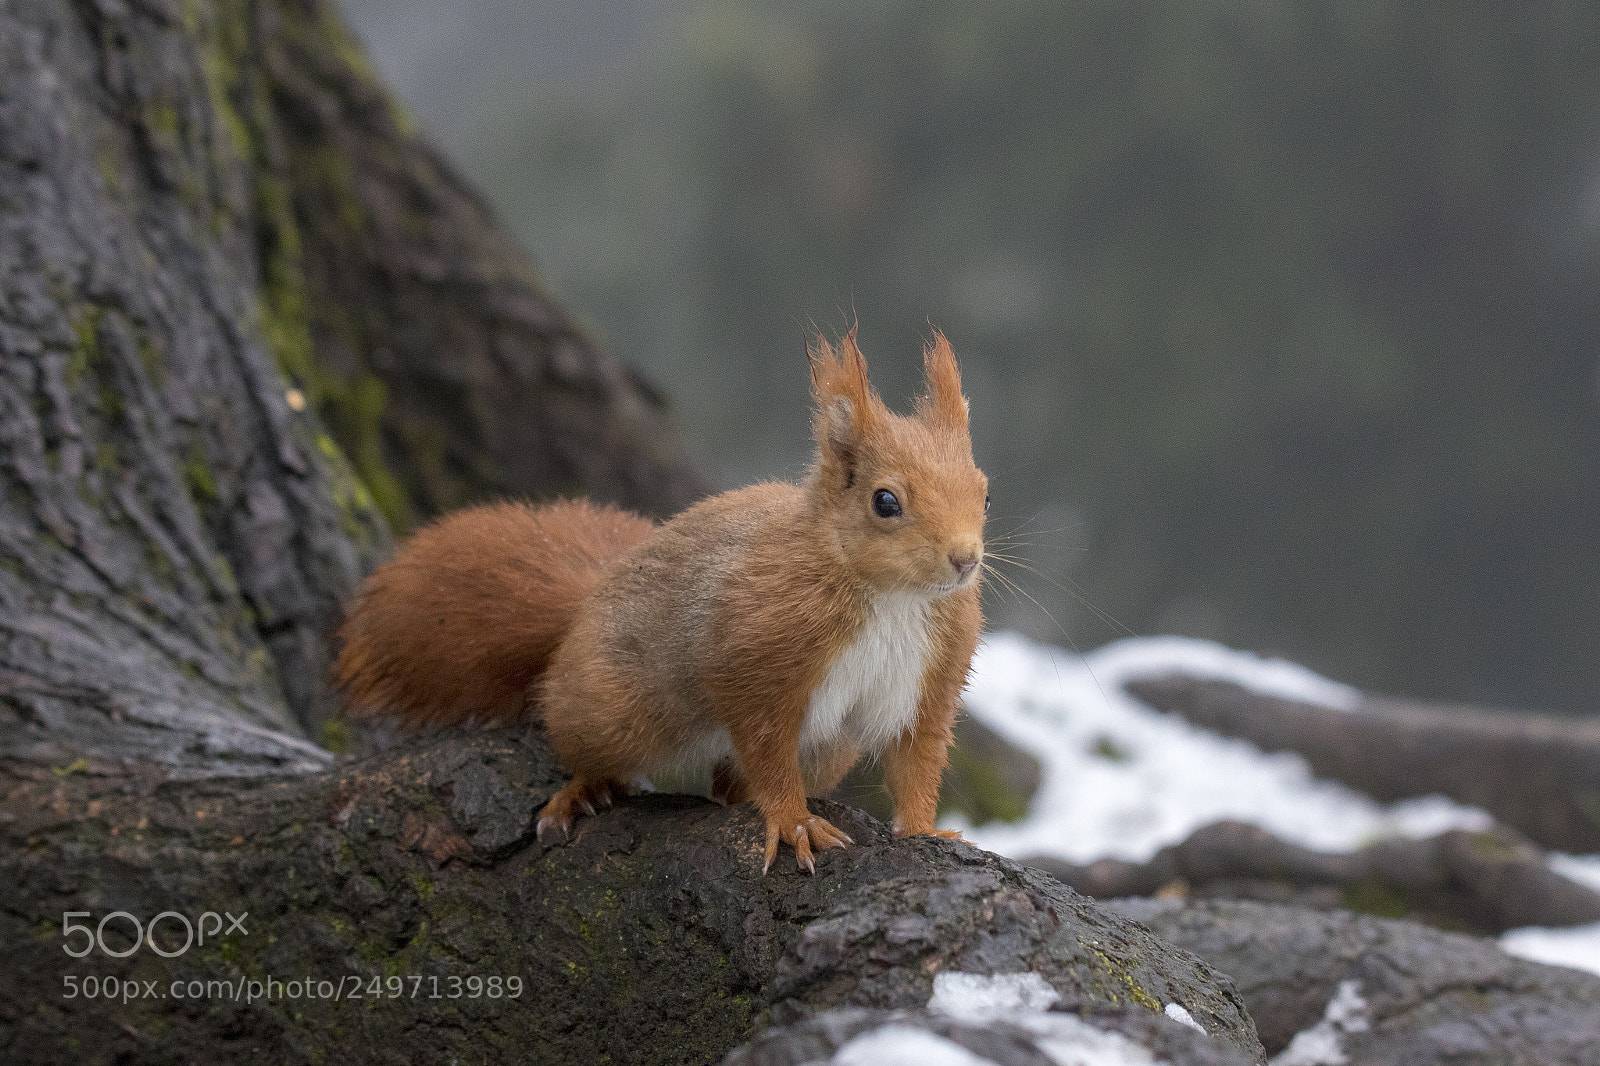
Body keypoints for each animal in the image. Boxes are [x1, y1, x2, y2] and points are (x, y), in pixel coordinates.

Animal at [335, 328, 988, 873]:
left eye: (983, 491)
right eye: (885, 502)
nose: (965, 560)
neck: (893, 597)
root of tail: (587, 606)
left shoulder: (931, 677)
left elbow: (917, 758)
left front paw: (925, 831)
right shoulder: (757, 654)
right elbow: (767, 748)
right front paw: (793, 822)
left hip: (828, 751)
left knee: (731, 784)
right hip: (614, 707)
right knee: (580, 740)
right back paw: (582, 790)